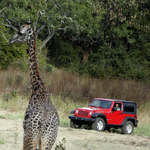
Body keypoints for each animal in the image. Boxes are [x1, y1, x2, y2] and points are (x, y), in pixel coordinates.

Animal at [8, 19, 59, 149]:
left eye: (20, 32)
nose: (10, 40)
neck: (37, 87)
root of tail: (45, 123)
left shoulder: (24, 128)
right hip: (47, 141)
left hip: (29, 138)